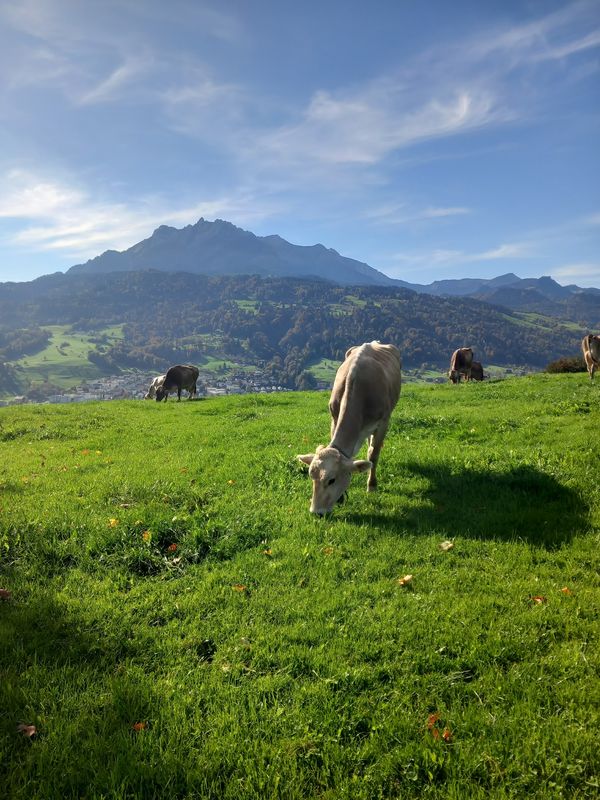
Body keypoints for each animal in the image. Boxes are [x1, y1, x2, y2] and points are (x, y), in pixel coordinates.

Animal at [296, 340, 400, 516]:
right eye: (311, 477)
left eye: (332, 480)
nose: (316, 512)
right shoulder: (333, 417)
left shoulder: (383, 422)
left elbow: (374, 455)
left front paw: (372, 485)